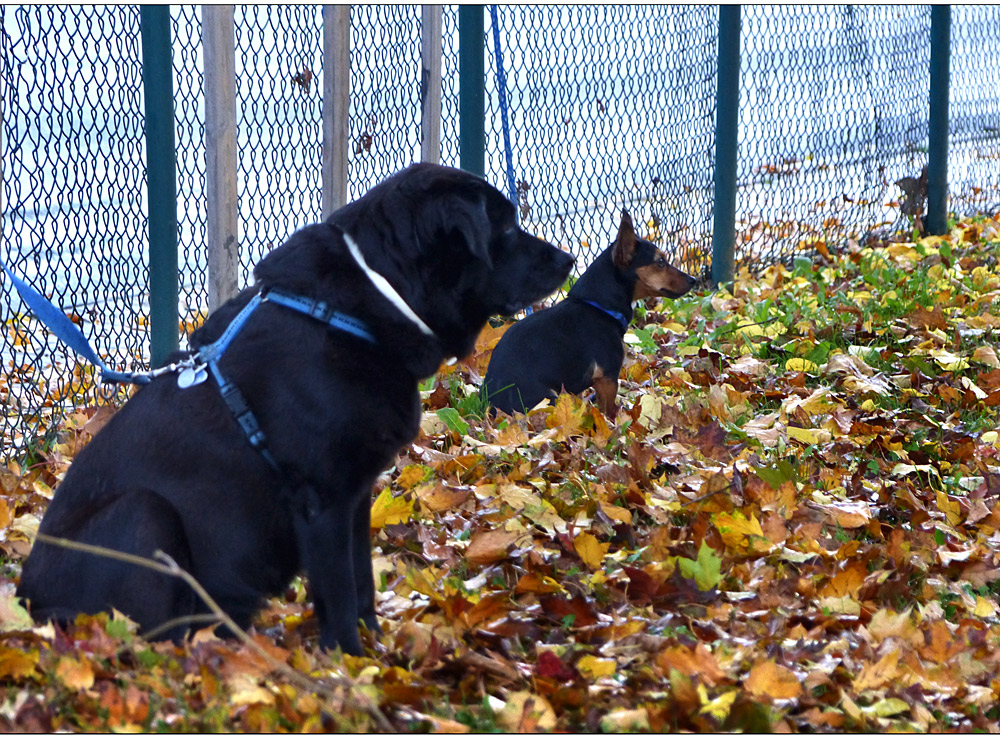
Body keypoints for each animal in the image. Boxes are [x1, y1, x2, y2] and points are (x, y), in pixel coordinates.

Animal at [19, 162, 576, 652]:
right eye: (506, 226)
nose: (569, 259)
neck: (361, 307)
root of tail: (31, 610)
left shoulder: (355, 493)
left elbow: (360, 582)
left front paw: (376, 658)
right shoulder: (321, 497)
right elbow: (338, 589)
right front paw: (347, 663)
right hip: (142, 513)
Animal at [484, 211, 696, 420]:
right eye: (660, 262)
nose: (693, 279)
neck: (598, 306)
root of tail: (493, 408)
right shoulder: (608, 378)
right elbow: (609, 412)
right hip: (548, 399)